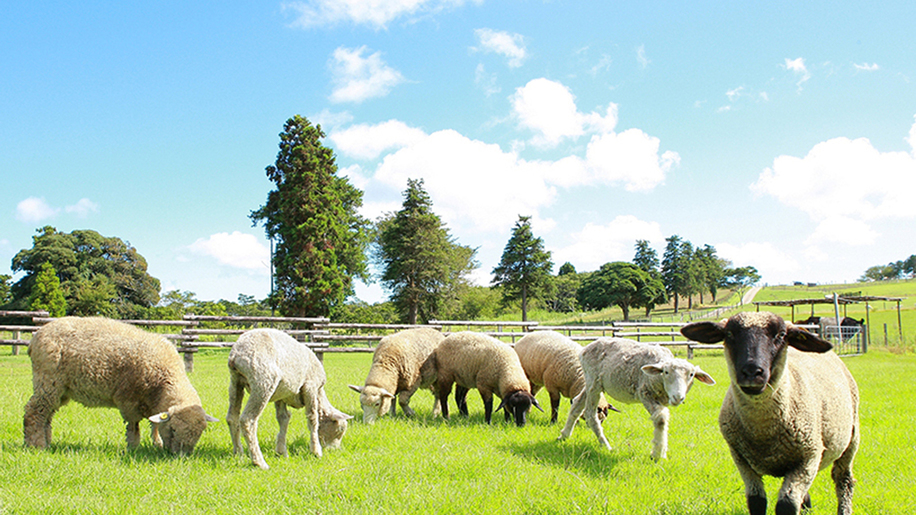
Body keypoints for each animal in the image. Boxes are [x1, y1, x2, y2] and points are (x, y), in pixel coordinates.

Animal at [23, 316, 218, 454]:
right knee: (34, 411)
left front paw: (157, 444)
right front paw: (133, 448)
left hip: (61, 389)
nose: (181, 457)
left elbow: (154, 424)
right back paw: (36, 445)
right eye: (174, 430)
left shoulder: (153, 403)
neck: (163, 380)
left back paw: (47, 442)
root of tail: (35, 337)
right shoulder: (128, 400)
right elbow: (134, 426)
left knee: (47, 415)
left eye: (200, 433)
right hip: (48, 381)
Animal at [225, 330, 350, 472]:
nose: (334, 450)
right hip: (263, 381)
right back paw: (259, 462)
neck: (320, 392)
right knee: (248, 420)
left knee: (232, 417)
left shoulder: (281, 396)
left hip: (235, 382)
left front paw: (281, 452)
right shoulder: (310, 386)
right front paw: (316, 451)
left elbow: (283, 419)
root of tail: (236, 354)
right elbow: (313, 419)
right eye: (340, 430)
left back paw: (238, 453)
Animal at [560, 336, 716, 462]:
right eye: (666, 372)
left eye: (691, 374)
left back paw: (564, 435)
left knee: (577, 403)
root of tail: (586, 348)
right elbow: (661, 419)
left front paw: (661, 452)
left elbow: (664, 421)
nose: (678, 397)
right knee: (590, 413)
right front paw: (657, 454)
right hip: (594, 382)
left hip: (592, 382)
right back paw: (605, 445)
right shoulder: (644, 393)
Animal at [680, 310, 860, 515]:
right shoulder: (741, 459)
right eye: (729, 334)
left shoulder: (809, 456)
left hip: (851, 439)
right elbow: (756, 501)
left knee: (843, 480)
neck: (763, 431)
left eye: (780, 335)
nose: (752, 372)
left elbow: (786, 505)